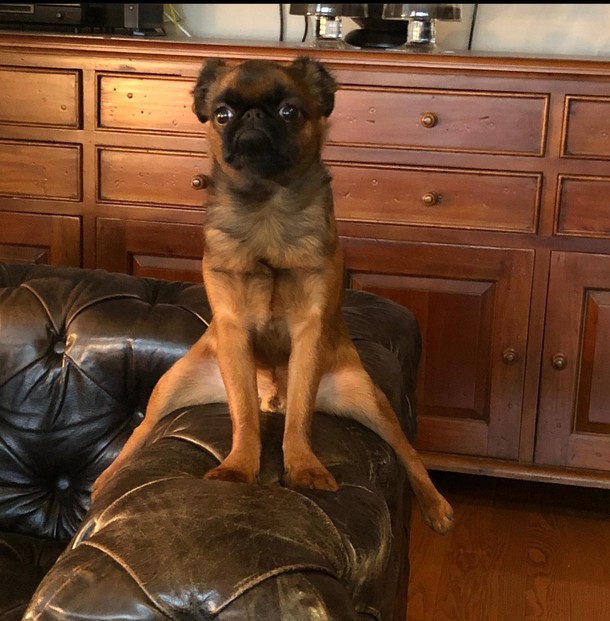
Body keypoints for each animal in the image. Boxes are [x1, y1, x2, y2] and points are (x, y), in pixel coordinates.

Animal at [91, 57, 452, 532]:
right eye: (222, 114)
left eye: (289, 111)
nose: (252, 118)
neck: (266, 207)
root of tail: (272, 396)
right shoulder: (232, 331)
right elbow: (244, 416)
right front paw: (239, 467)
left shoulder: (309, 333)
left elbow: (299, 417)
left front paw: (304, 468)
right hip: (173, 384)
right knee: (141, 430)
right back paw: (106, 478)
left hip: (369, 398)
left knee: (405, 451)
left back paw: (435, 505)